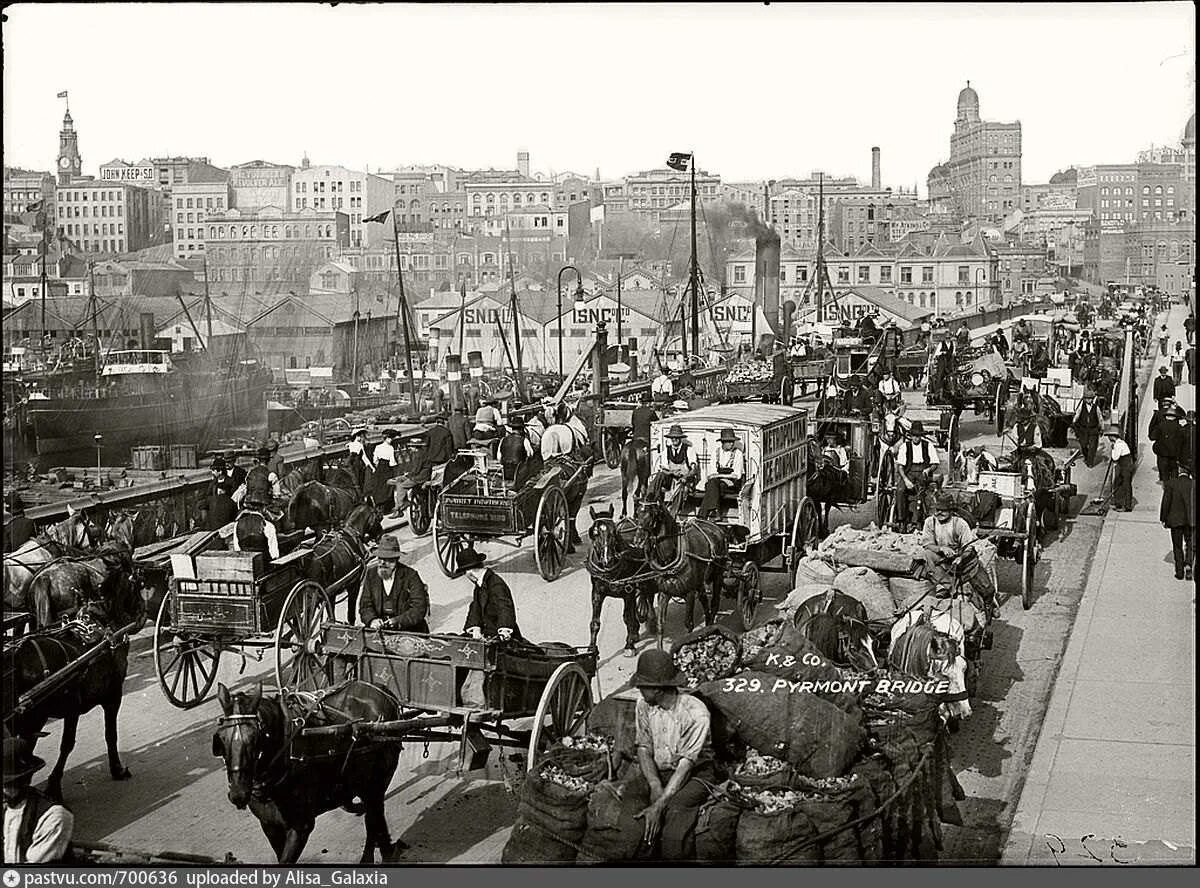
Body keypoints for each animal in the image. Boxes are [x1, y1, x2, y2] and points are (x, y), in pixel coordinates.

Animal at [2, 552, 148, 801]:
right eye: (137, 583)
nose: (142, 613)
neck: (101, 623)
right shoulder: (109, 697)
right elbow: (100, 736)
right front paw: (116, 768)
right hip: (33, 717)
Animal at [213, 681, 405, 864]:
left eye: (255, 738)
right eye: (221, 739)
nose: (238, 793)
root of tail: (380, 689)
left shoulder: (301, 826)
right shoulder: (269, 825)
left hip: (377, 780)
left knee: (373, 816)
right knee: (374, 817)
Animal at [583, 504, 657, 657]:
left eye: (614, 531)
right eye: (595, 533)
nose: (608, 560)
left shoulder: (627, 592)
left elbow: (628, 618)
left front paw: (629, 645)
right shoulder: (597, 593)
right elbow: (595, 622)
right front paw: (592, 649)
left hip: (646, 577)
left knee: (648, 596)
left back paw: (651, 621)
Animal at [633, 496, 724, 648]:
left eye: (652, 514)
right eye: (637, 513)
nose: (638, 541)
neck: (671, 556)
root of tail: (717, 528)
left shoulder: (689, 593)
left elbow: (689, 624)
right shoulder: (664, 593)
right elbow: (660, 625)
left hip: (718, 574)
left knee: (714, 603)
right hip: (700, 582)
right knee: (705, 601)